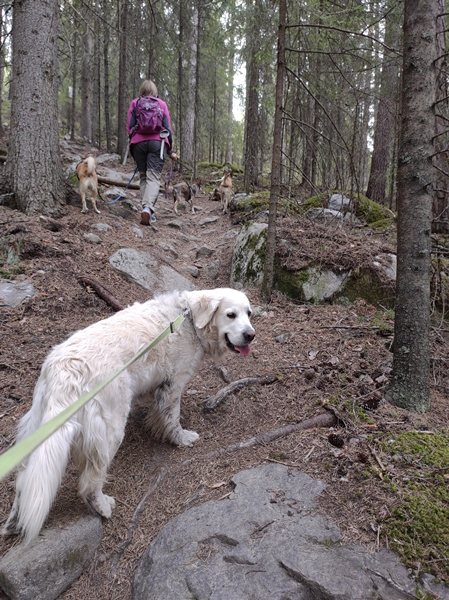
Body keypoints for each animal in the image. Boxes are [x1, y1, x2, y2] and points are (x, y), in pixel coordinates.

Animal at [1, 286, 256, 544]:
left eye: (249, 313)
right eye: (231, 315)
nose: (250, 335)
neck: (191, 319)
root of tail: (66, 371)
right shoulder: (173, 383)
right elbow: (172, 417)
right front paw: (182, 438)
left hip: (35, 426)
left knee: (24, 479)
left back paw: (14, 523)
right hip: (110, 429)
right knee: (89, 482)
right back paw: (103, 506)